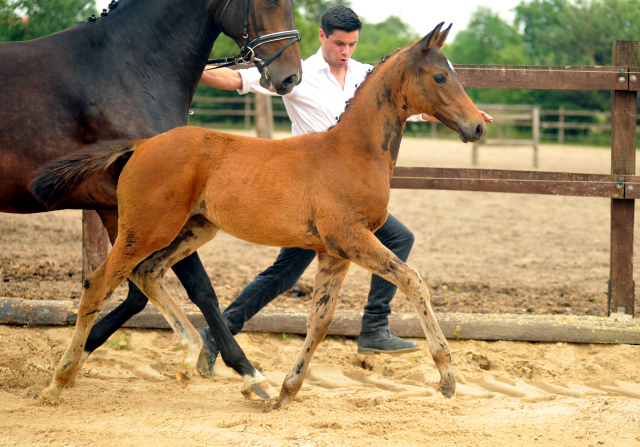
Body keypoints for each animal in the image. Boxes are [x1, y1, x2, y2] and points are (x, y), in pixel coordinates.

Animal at [1, 0, 302, 400]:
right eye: (267, 2)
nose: (291, 78)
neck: (128, 68)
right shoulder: (153, 211)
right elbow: (199, 289)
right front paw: (248, 372)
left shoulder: (122, 211)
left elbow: (138, 289)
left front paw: (82, 354)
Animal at [32, 22, 484, 408]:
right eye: (440, 77)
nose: (478, 126)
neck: (353, 152)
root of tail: (141, 145)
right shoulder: (351, 238)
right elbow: (413, 280)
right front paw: (447, 378)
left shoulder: (333, 253)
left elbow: (320, 321)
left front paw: (287, 391)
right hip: (145, 229)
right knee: (98, 284)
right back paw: (57, 383)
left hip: (194, 230)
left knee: (146, 274)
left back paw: (193, 358)